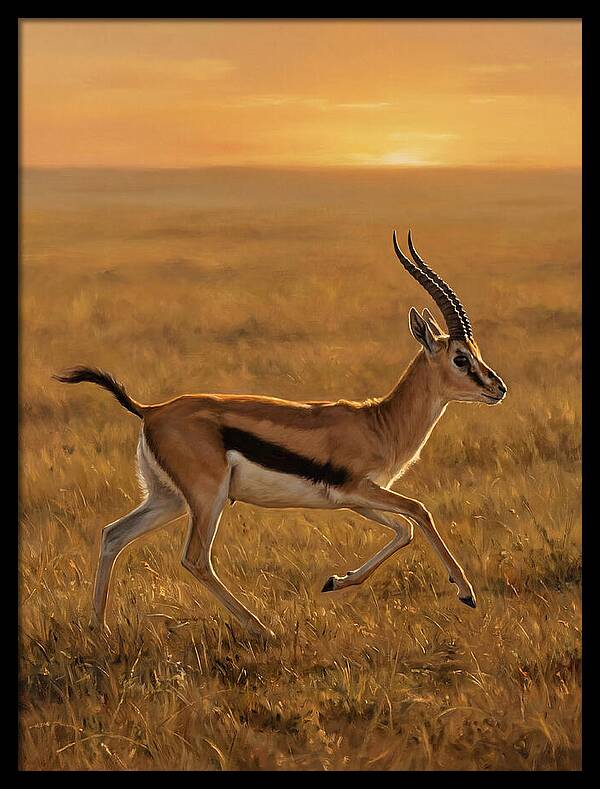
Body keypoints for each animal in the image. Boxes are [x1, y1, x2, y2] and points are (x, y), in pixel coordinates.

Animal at [55, 231, 507, 640]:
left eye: (476, 353)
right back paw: (263, 628)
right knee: (195, 559)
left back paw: (98, 628)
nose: (498, 388)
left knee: (113, 535)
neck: (379, 422)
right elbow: (419, 512)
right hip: (207, 498)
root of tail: (151, 410)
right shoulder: (359, 489)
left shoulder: (355, 499)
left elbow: (404, 530)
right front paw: (466, 593)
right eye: (460, 358)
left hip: (168, 499)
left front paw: (335, 581)